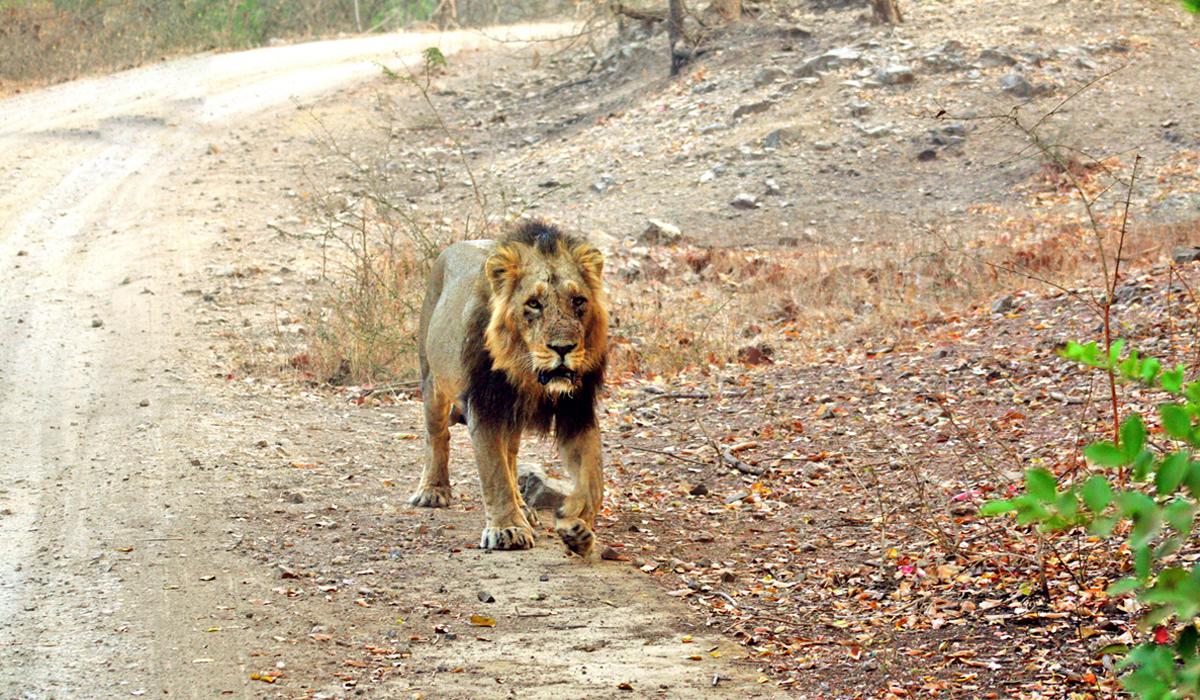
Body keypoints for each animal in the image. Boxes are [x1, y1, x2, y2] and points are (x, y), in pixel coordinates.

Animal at [410, 220, 609, 559]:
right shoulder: (485, 406)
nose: (563, 348)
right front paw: (507, 530)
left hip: (512, 416)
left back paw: (524, 508)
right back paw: (433, 491)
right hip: (433, 379)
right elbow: (495, 473)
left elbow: (592, 477)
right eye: (534, 304)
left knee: (512, 454)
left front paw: (577, 528)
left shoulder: (577, 409)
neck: (528, 373)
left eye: (579, 301)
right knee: (437, 434)